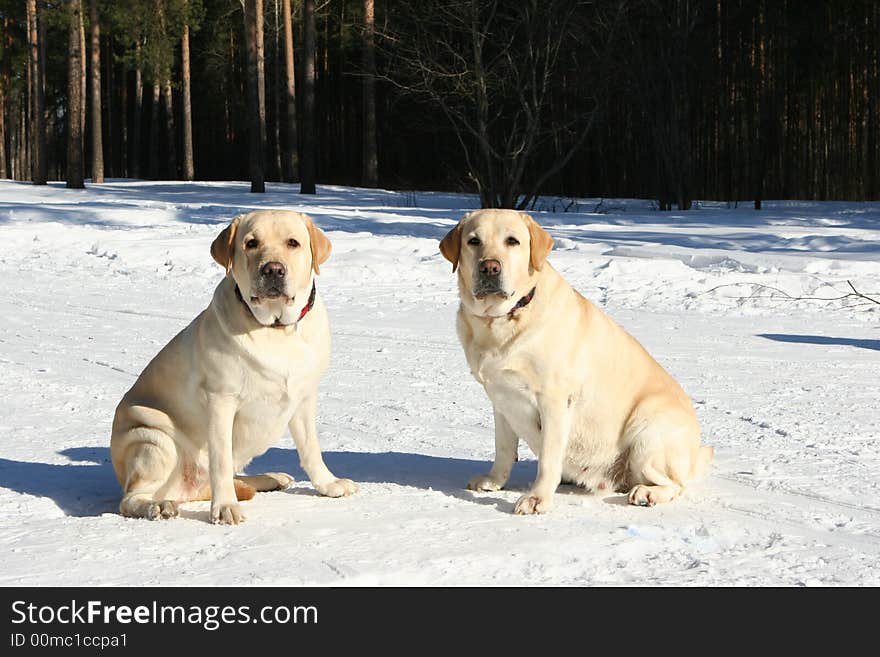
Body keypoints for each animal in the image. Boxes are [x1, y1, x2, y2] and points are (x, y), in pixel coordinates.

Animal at [111, 208, 358, 524]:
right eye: (251, 243)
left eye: (293, 243)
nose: (273, 269)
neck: (276, 329)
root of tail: (189, 489)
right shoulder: (220, 400)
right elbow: (221, 461)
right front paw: (226, 506)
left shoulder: (303, 397)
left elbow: (311, 447)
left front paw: (328, 484)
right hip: (152, 437)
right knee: (131, 498)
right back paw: (159, 505)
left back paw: (271, 477)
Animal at [440, 209, 716, 512]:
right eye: (473, 241)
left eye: (512, 241)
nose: (490, 267)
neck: (501, 320)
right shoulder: (501, 399)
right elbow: (503, 448)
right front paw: (493, 481)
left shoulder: (554, 400)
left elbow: (549, 459)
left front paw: (537, 498)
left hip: (647, 430)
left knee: (676, 484)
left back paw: (647, 493)